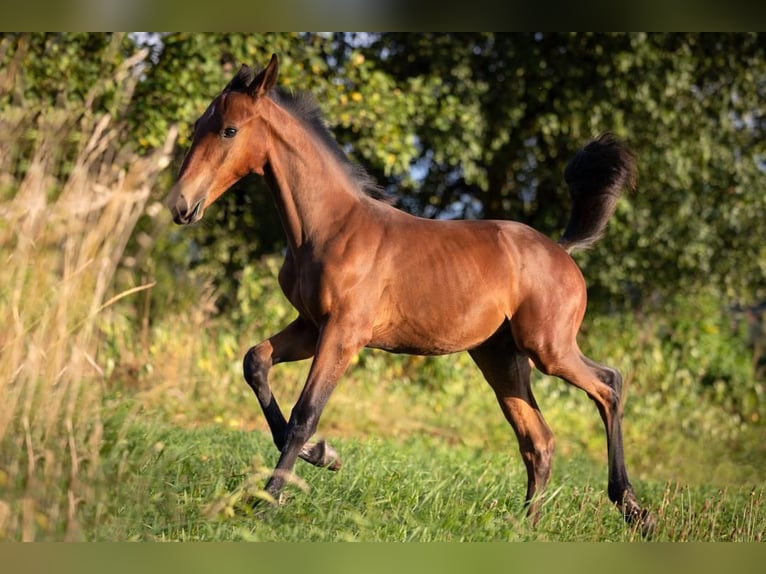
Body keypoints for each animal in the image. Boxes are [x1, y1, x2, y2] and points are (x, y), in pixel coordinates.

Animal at [166, 54, 656, 536]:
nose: (180, 205)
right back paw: (525, 528)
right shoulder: (310, 326)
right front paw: (325, 456)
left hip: (548, 348)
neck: (329, 227)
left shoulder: (344, 333)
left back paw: (634, 510)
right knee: (539, 440)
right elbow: (256, 363)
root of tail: (562, 249)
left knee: (608, 385)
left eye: (230, 130)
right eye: (199, 124)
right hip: (501, 357)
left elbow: (305, 415)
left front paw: (268, 502)